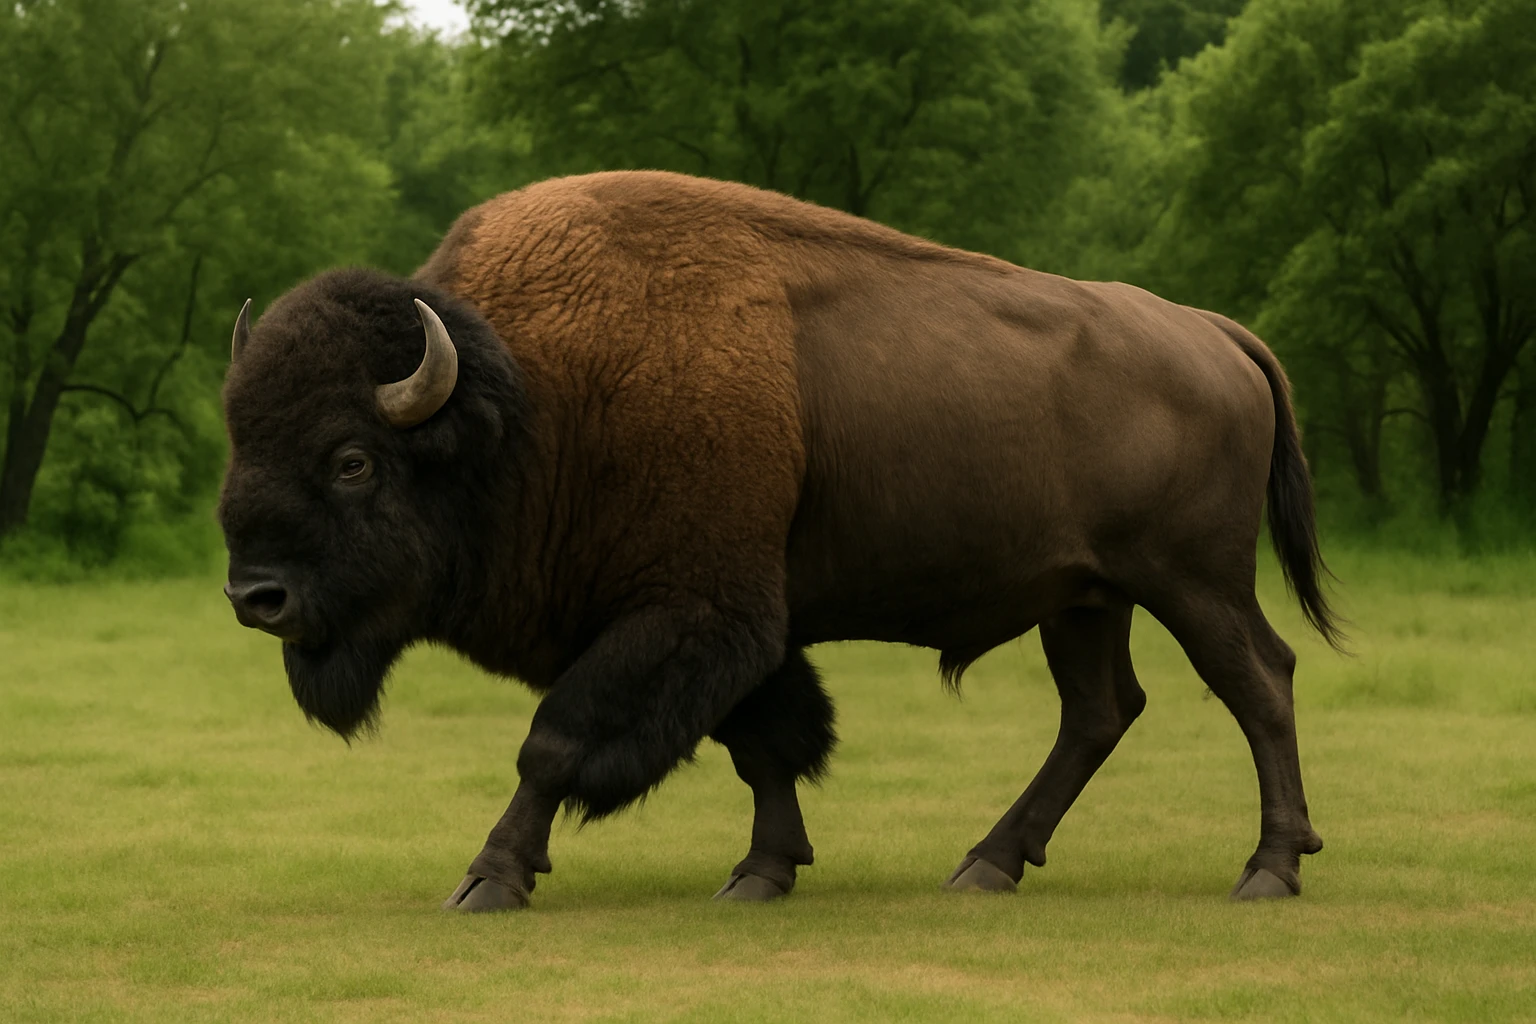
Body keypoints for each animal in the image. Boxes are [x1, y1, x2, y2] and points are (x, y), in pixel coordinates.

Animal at [219, 171, 1340, 911]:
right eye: (242, 437)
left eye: (352, 460)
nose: (255, 597)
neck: (533, 400)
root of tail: (1211, 332)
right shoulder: (739, 623)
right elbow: (766, 743)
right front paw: (762, 872)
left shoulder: (688, 612)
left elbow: (557, 743)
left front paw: (491, 877)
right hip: (1085, 597)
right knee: (1100, 712)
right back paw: (985, 864)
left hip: (1194, 582)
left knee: (1261, 683)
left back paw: (1268, 869)